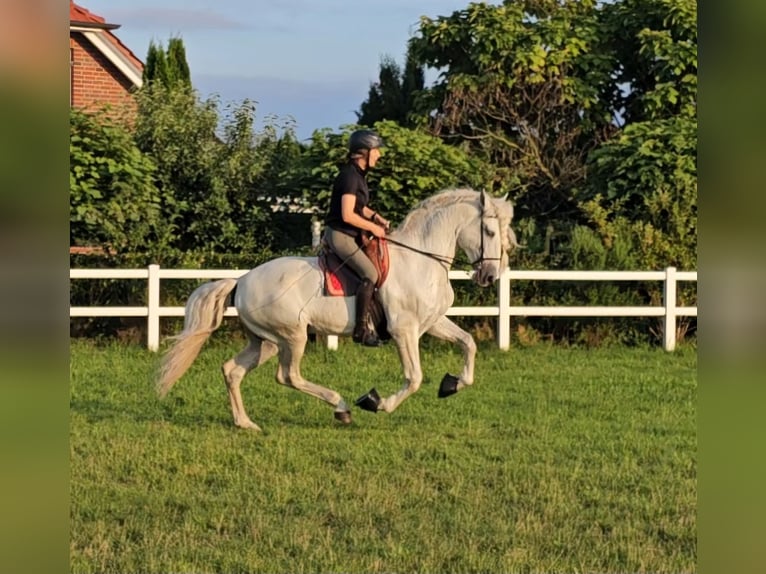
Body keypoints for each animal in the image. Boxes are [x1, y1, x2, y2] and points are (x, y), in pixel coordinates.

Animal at [158, 190, 516, 432]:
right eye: (489, 232)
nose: (490, 276)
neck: (421, 259)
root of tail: (242, 280)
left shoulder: (432, 322)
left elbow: (468, 343)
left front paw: (452, 384)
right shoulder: (404, 330)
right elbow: (414, 378)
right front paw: (376, 402)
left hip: (267, 342)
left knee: (233, 370)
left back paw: (245, 423)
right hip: (293, 337)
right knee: (288, 376)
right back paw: (341, 406)